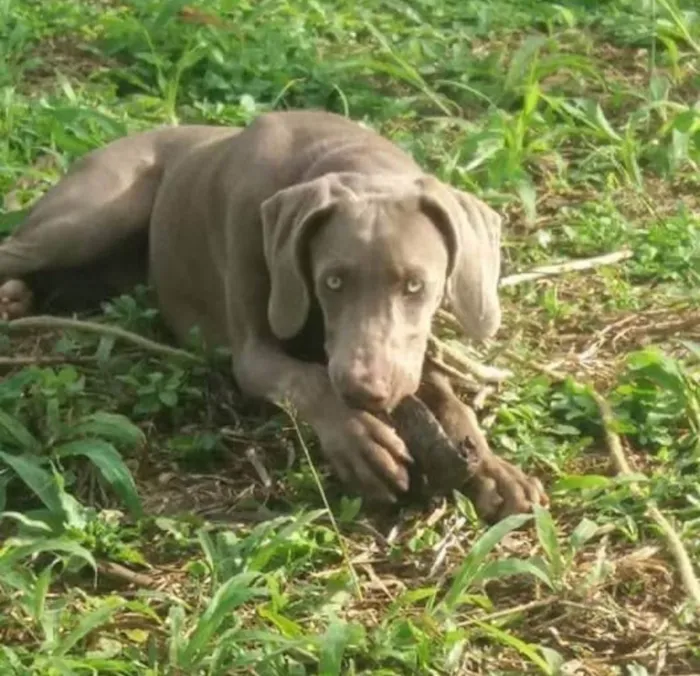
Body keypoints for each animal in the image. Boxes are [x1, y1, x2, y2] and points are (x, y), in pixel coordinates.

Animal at [0, 111, 544, 516]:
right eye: (332, 281)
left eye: (416, 286)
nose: (364, 392)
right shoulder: (253, 352)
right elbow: (307, 380)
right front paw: (358, 437)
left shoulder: (408, 355)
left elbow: (450, 401)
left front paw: (494, 469)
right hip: (93, 214)